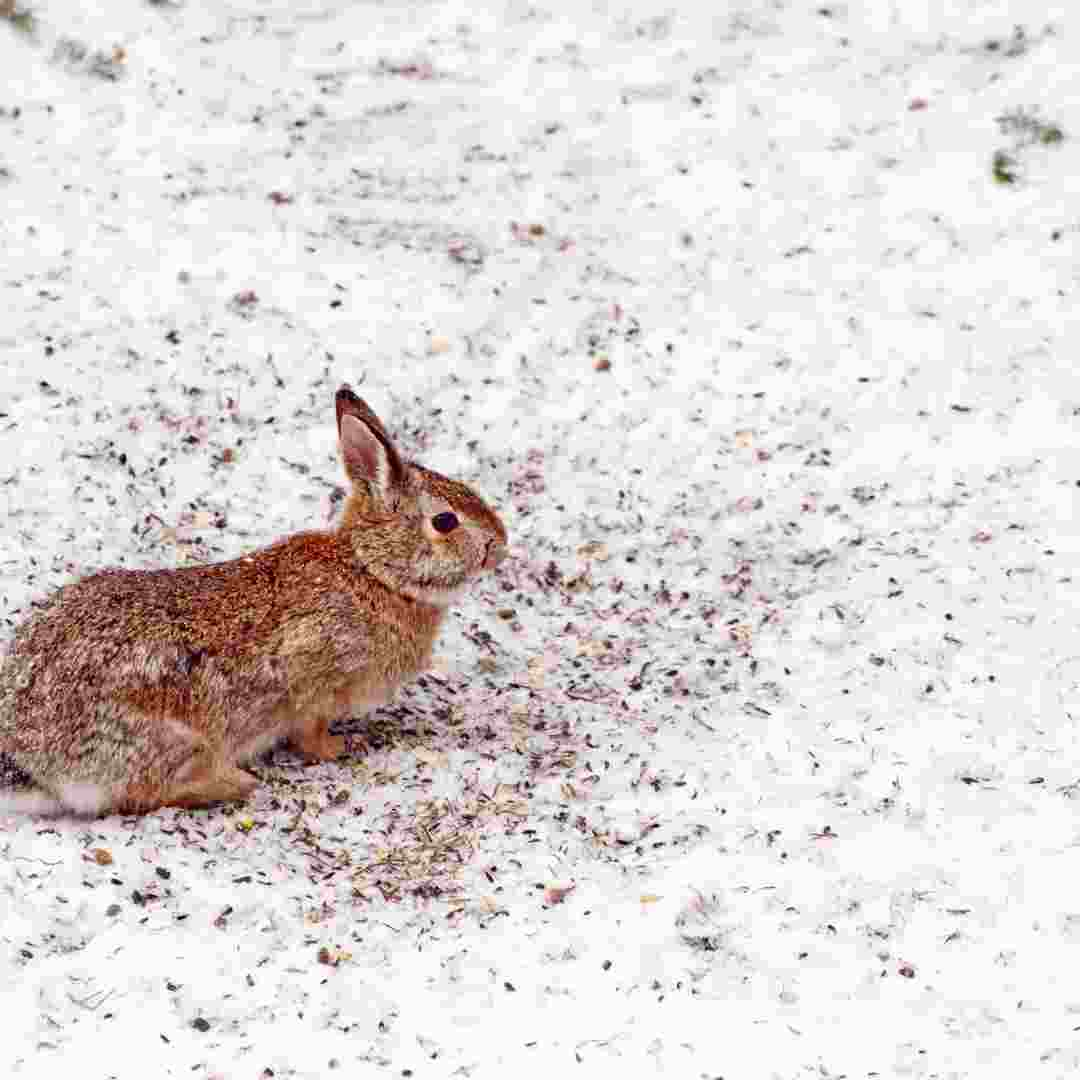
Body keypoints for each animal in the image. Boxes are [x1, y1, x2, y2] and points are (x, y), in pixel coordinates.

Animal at [0, 384, 507, 812]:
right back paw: (238, 783)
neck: (373, 571)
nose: (500, 545)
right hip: (168, 737)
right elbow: (310, 731)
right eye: (445, 521)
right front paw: (341, 748)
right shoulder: (312, 677)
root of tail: (31, 759)